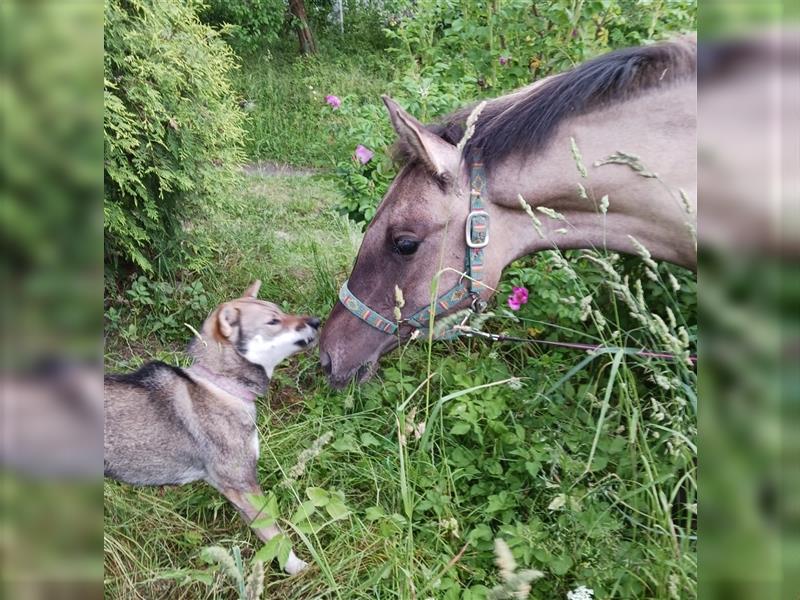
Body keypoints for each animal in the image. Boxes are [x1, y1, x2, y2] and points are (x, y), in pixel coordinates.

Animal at [104, 282, 320, 576]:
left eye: (283, 311)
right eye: (273, 321)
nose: (317, 321)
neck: (221, 384)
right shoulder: (242, 485)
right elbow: (274, 534)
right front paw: (297, 566)